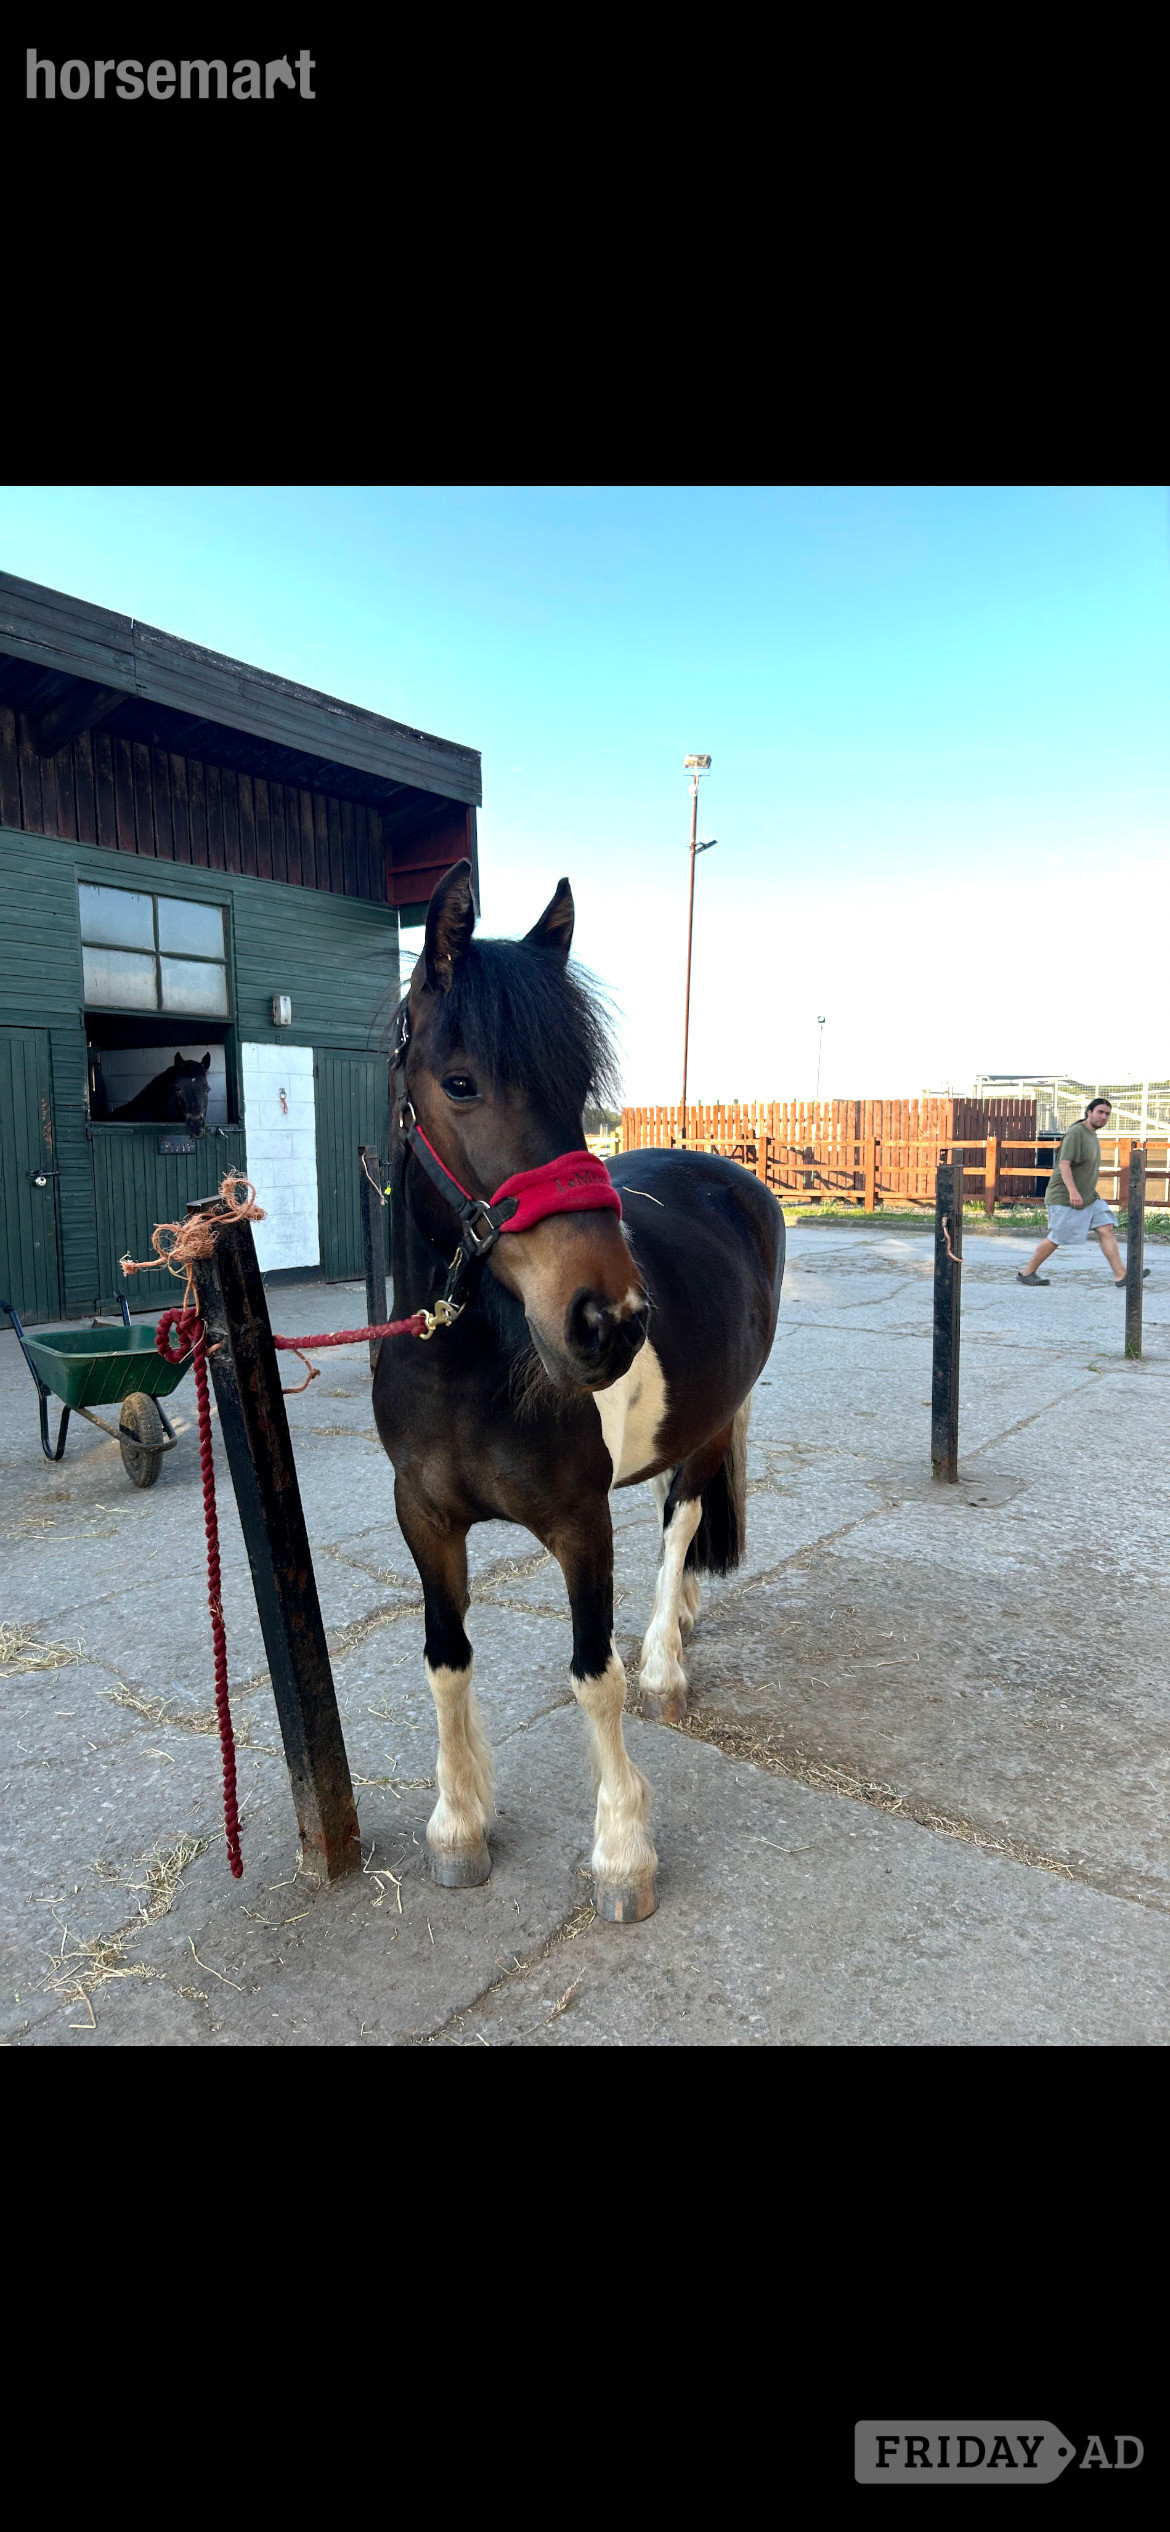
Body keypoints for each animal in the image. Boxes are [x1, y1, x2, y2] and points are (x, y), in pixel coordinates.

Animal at [373, 861, 784, 1922]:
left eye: (579, 1087)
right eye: (461, 1082)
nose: (610, 1320)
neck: (469, 1368)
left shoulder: (577, 1524)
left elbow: (593, 1677)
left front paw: (622, 1854)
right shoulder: (423, 1516)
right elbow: (444, 1660)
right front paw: (460, 1826)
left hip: (708, 1427)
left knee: (682, 1523)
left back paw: (666, 1659)